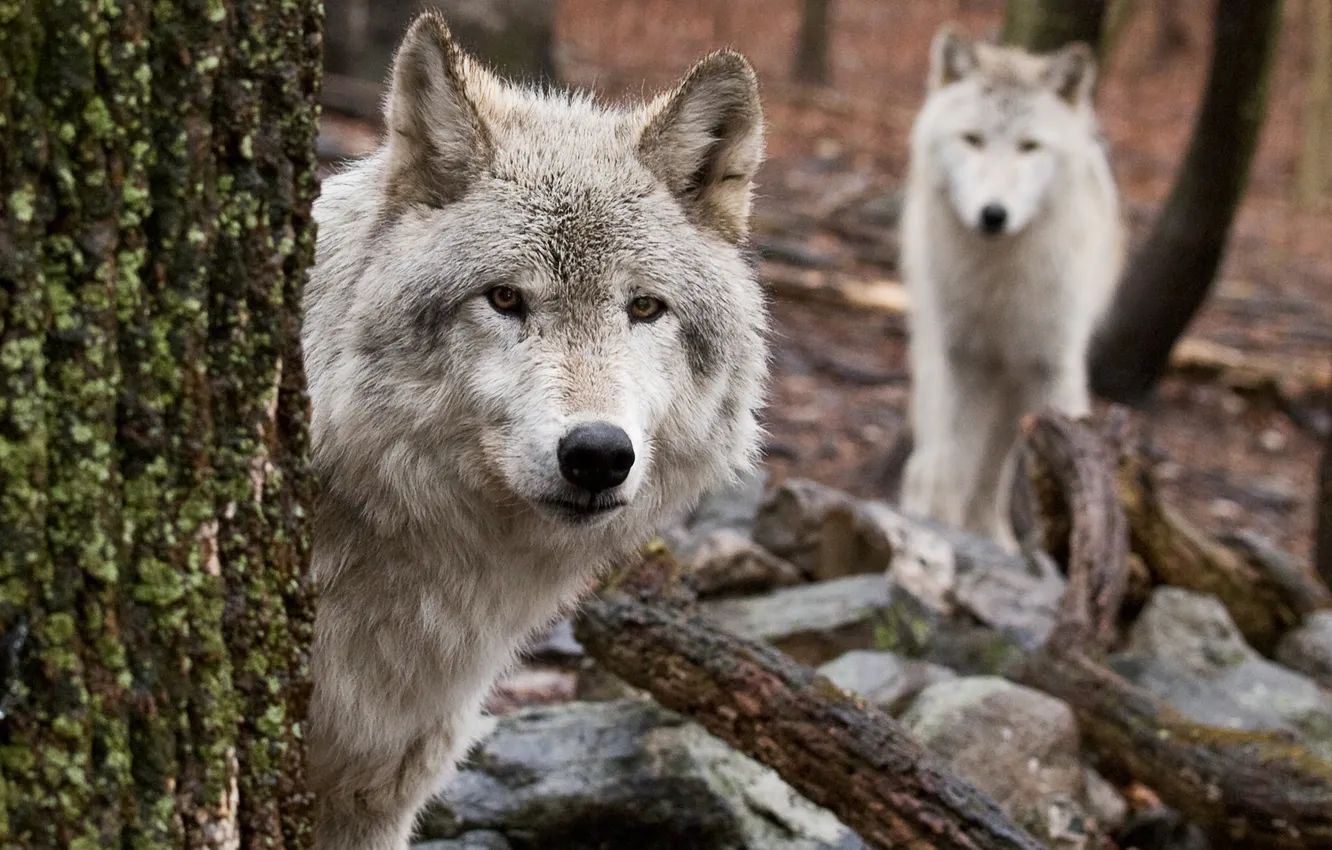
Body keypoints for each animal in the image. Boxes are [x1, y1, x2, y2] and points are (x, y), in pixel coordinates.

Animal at [895, 24, 1124, 554]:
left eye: (1029, 146)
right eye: (972, 140)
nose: (993, 214)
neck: (1000, 285)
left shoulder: (1051, 368)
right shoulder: (965, 361)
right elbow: (950, 469)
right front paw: (940, 531)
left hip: (1013, 388)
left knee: (993, 471)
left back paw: (993, 534)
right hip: (939, 355)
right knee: (928, 459)